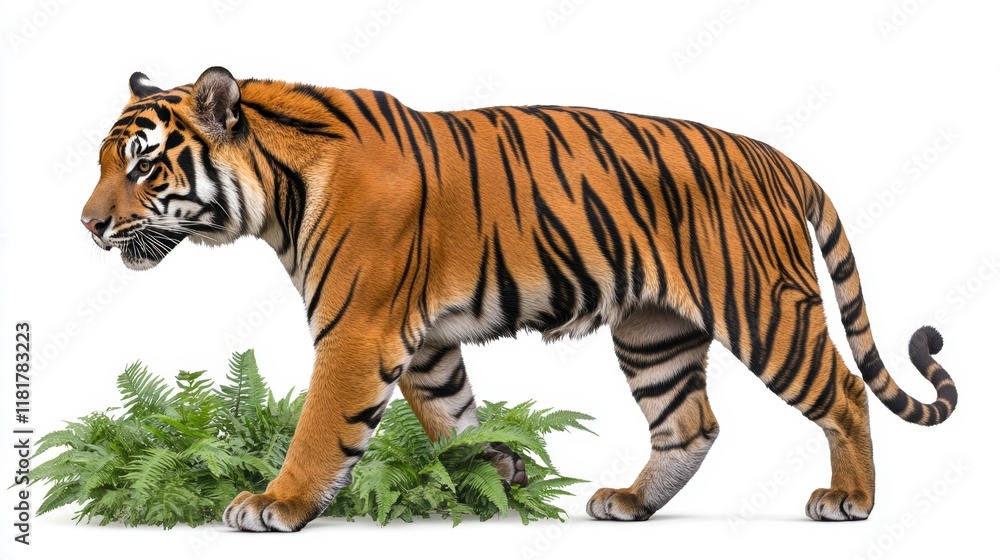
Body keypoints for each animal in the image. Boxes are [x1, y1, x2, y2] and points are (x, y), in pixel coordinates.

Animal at [81, 67, 957, 532]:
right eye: (104, 163)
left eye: (143, 165)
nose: (87, 225)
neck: (278, 191)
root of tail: (776, 156)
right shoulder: (422, 340)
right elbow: (450, 412)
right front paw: (497, 468)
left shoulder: (357, 331)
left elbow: (324, 428)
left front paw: (276, 503)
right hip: (654, 332)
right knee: (690, 423)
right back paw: (630, 502)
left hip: (762, 308)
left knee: (843, 391)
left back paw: (850, 499)